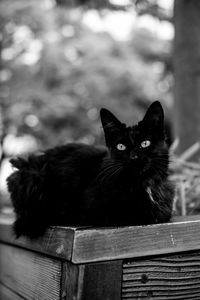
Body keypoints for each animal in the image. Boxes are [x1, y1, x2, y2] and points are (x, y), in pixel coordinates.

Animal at [7, 102, 174, 238]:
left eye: (145, 143)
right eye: (121, 146)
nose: (133, 157)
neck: (144, 184)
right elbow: (138, 213)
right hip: (31, 176)